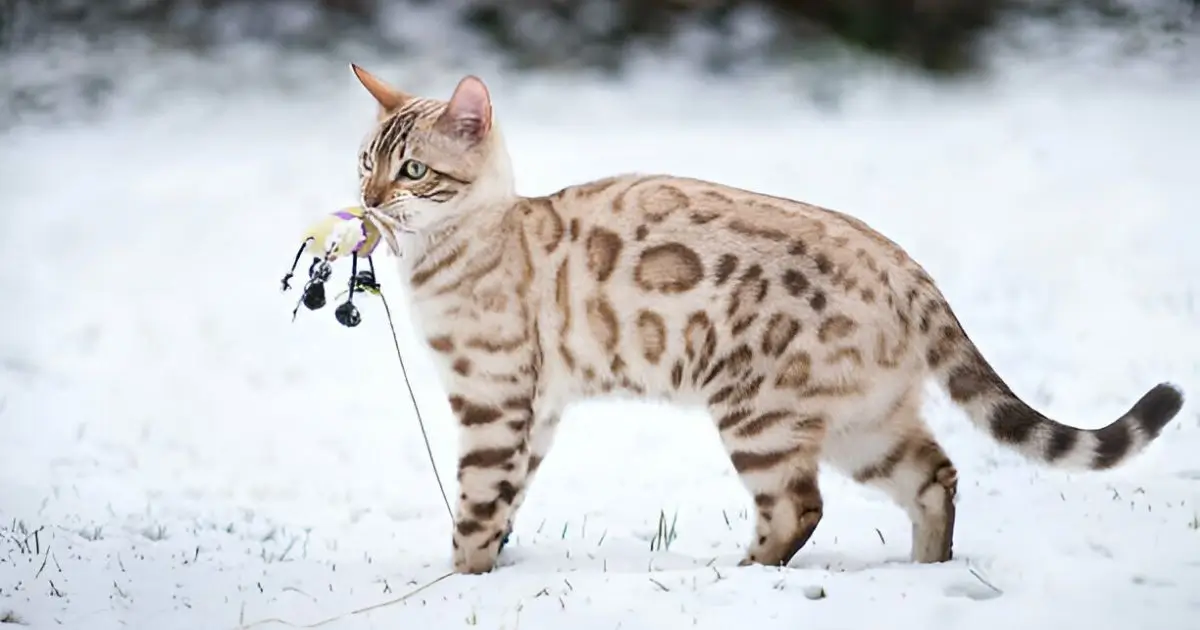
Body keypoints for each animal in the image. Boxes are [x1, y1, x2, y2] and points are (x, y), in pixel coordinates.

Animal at [345, 65, 1180, 573]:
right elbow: (506, 503)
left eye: (413, 170)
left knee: (799, 508)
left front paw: (459, 582)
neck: (448, 250)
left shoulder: (492, 398)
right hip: (863, 427)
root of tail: (904, 264)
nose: (370, 200)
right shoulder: (537, 409)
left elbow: (476, 507)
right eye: (365, 162)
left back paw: (743, 576)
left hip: (758, 415)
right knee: (935, 477)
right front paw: (489, 567)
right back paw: (922, 572)